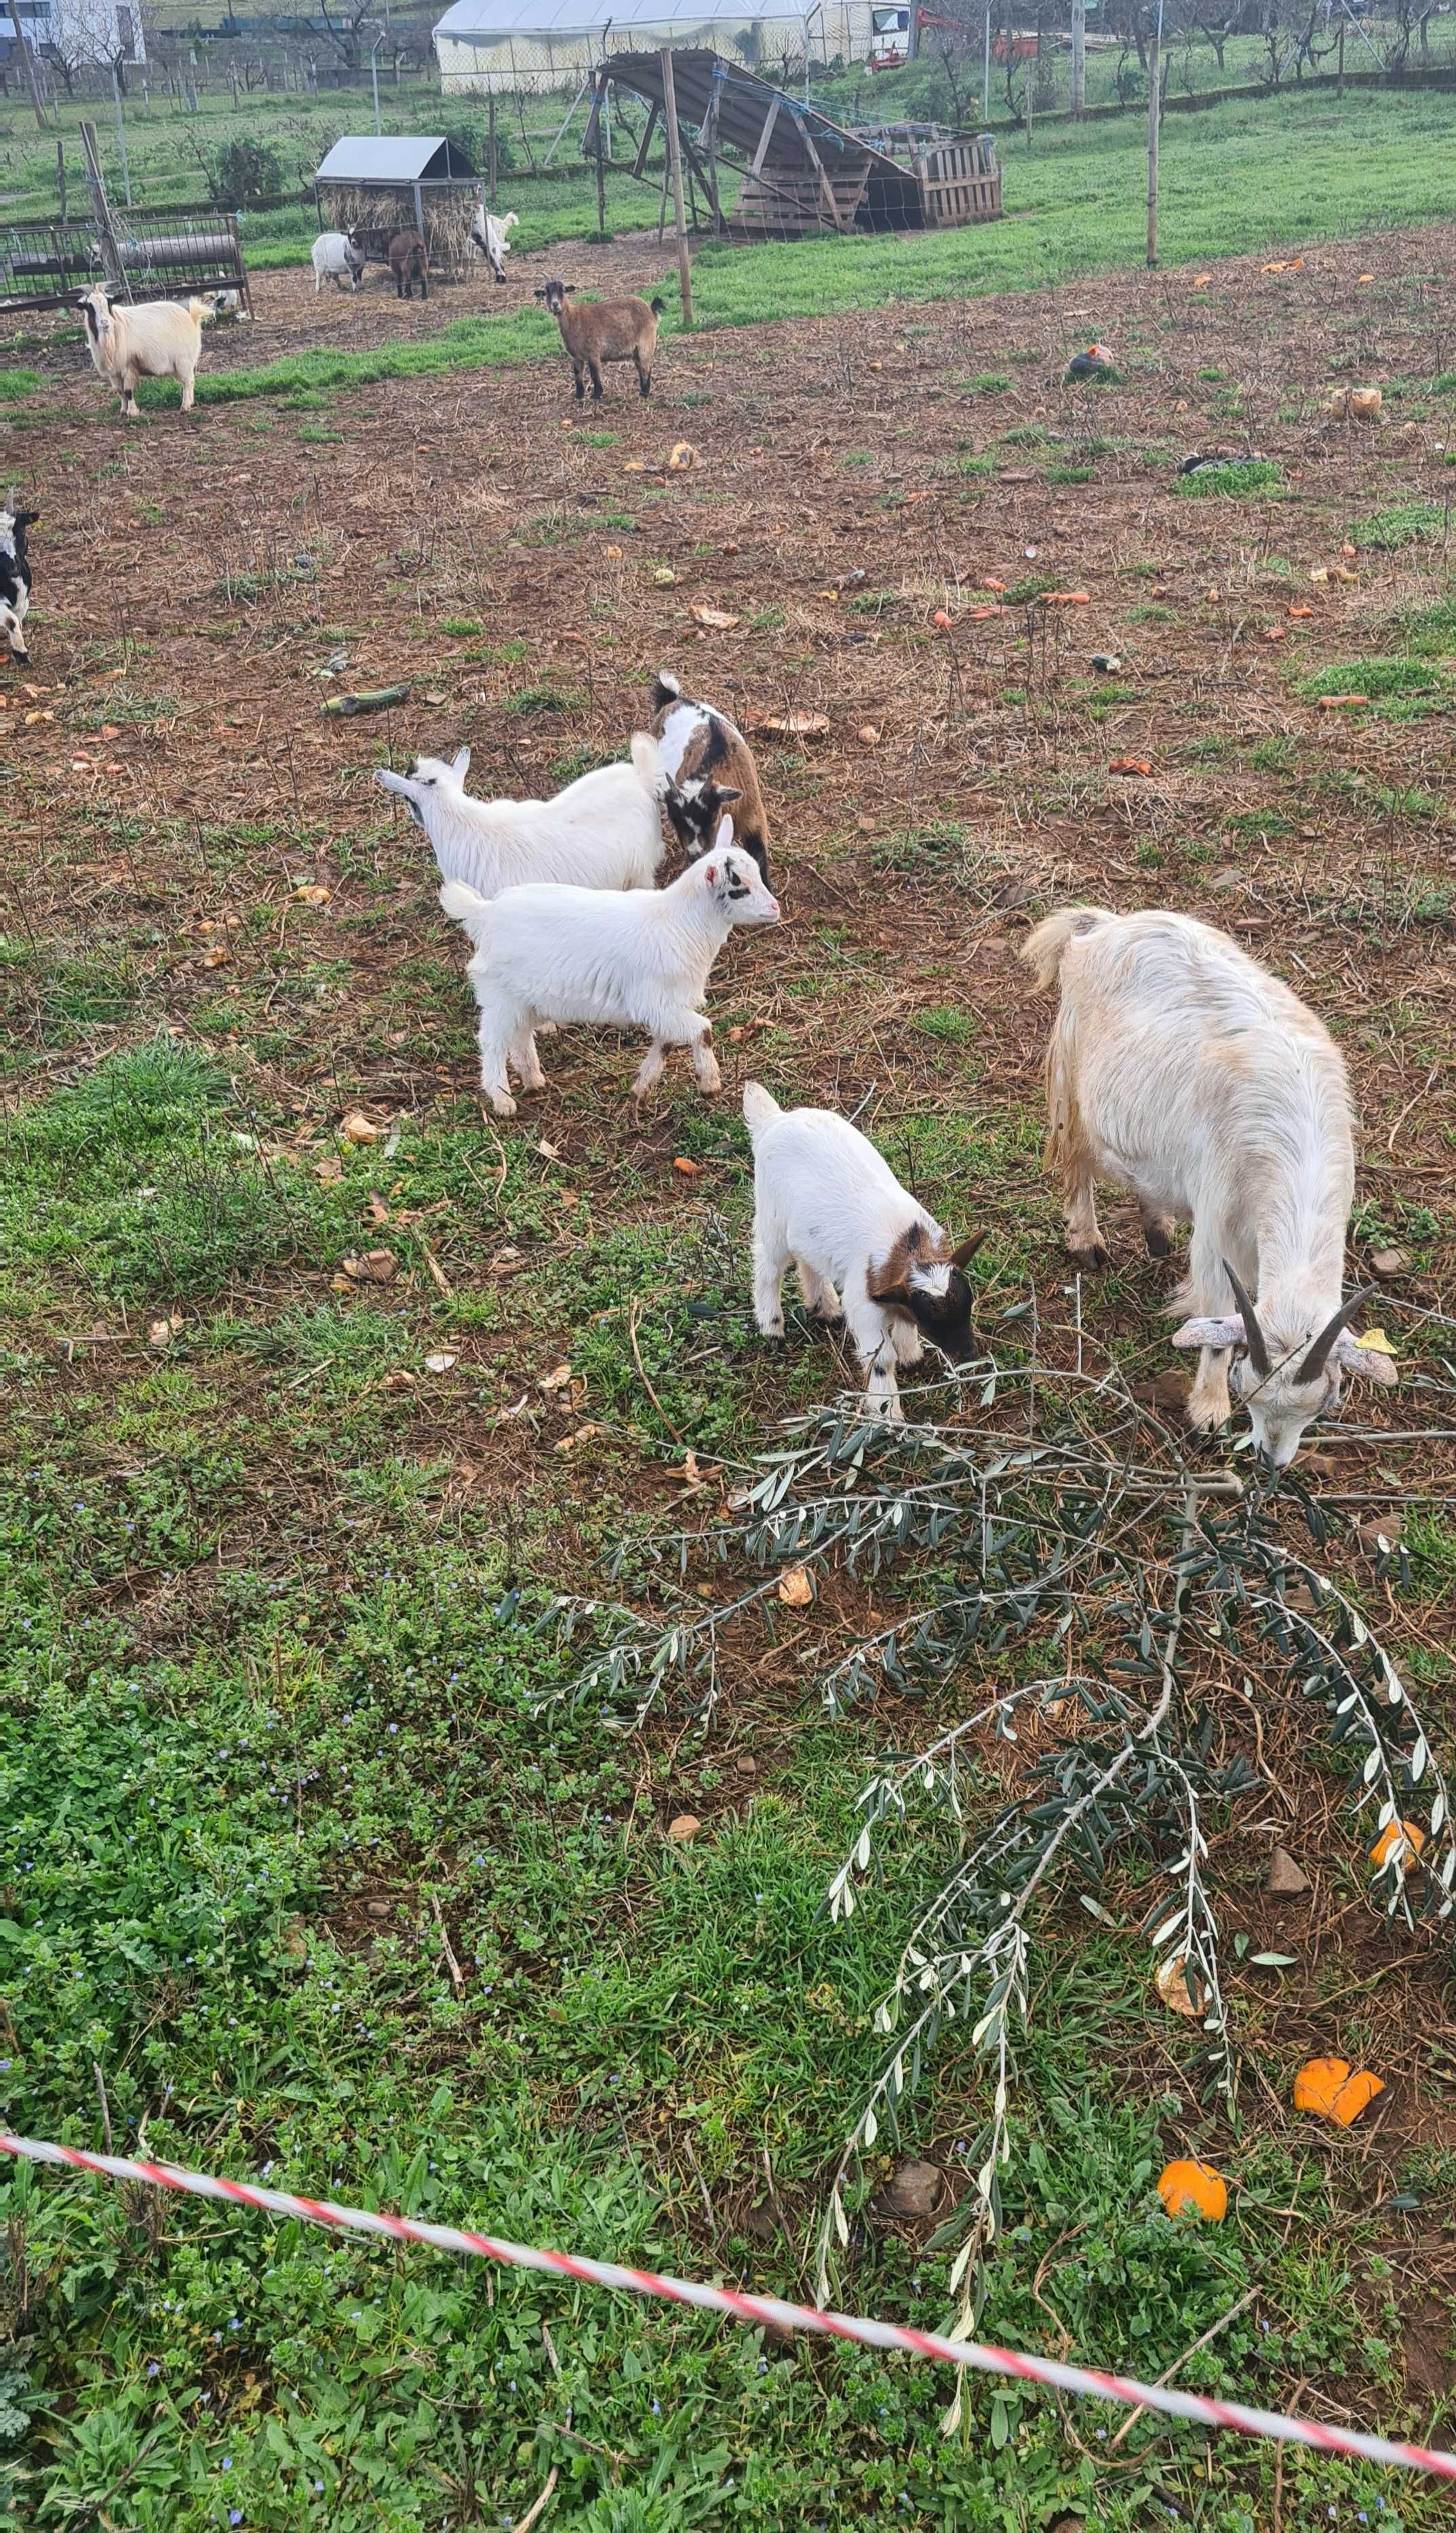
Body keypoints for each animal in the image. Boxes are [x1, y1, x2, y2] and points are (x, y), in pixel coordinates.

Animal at [80, 287, 206, 420]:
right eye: (89, 306)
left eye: (109, 303)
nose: (105, 323)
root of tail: (192, 318)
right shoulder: (114, 372)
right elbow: (120, 391)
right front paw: (123, 410)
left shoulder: (128, 366)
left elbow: (128, 391)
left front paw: (132, 412)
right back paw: (190, 403)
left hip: (184, 361)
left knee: (188, 382)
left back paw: (185, 407)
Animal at [536, 278, 668, 400]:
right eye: (546, 292)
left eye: (563, 290)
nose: (555, 304)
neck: (573, 318)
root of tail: (651, 311)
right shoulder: (576, 357)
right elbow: (578, 374)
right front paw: (579, 395)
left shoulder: (593, 352)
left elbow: (595, 374)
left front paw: (596, 395)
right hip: (636, 351)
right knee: (641, 368)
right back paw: (642, 392)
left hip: (645, 344)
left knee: (647, 369)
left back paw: (645, 394)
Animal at [744, 1079, 987, 1418]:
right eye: (931, 1318)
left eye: (969, 1305)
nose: (969, 1355)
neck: (907, 1243)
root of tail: (773, 1119)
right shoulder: (863, 1302)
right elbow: (881, 1359)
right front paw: (888, 1413)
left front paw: (911, 1354)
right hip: (772, 1215)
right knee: (769, 1266)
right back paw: (772, 1327)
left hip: (807, 1229)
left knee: (809, 1260)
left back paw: (825, 1308)